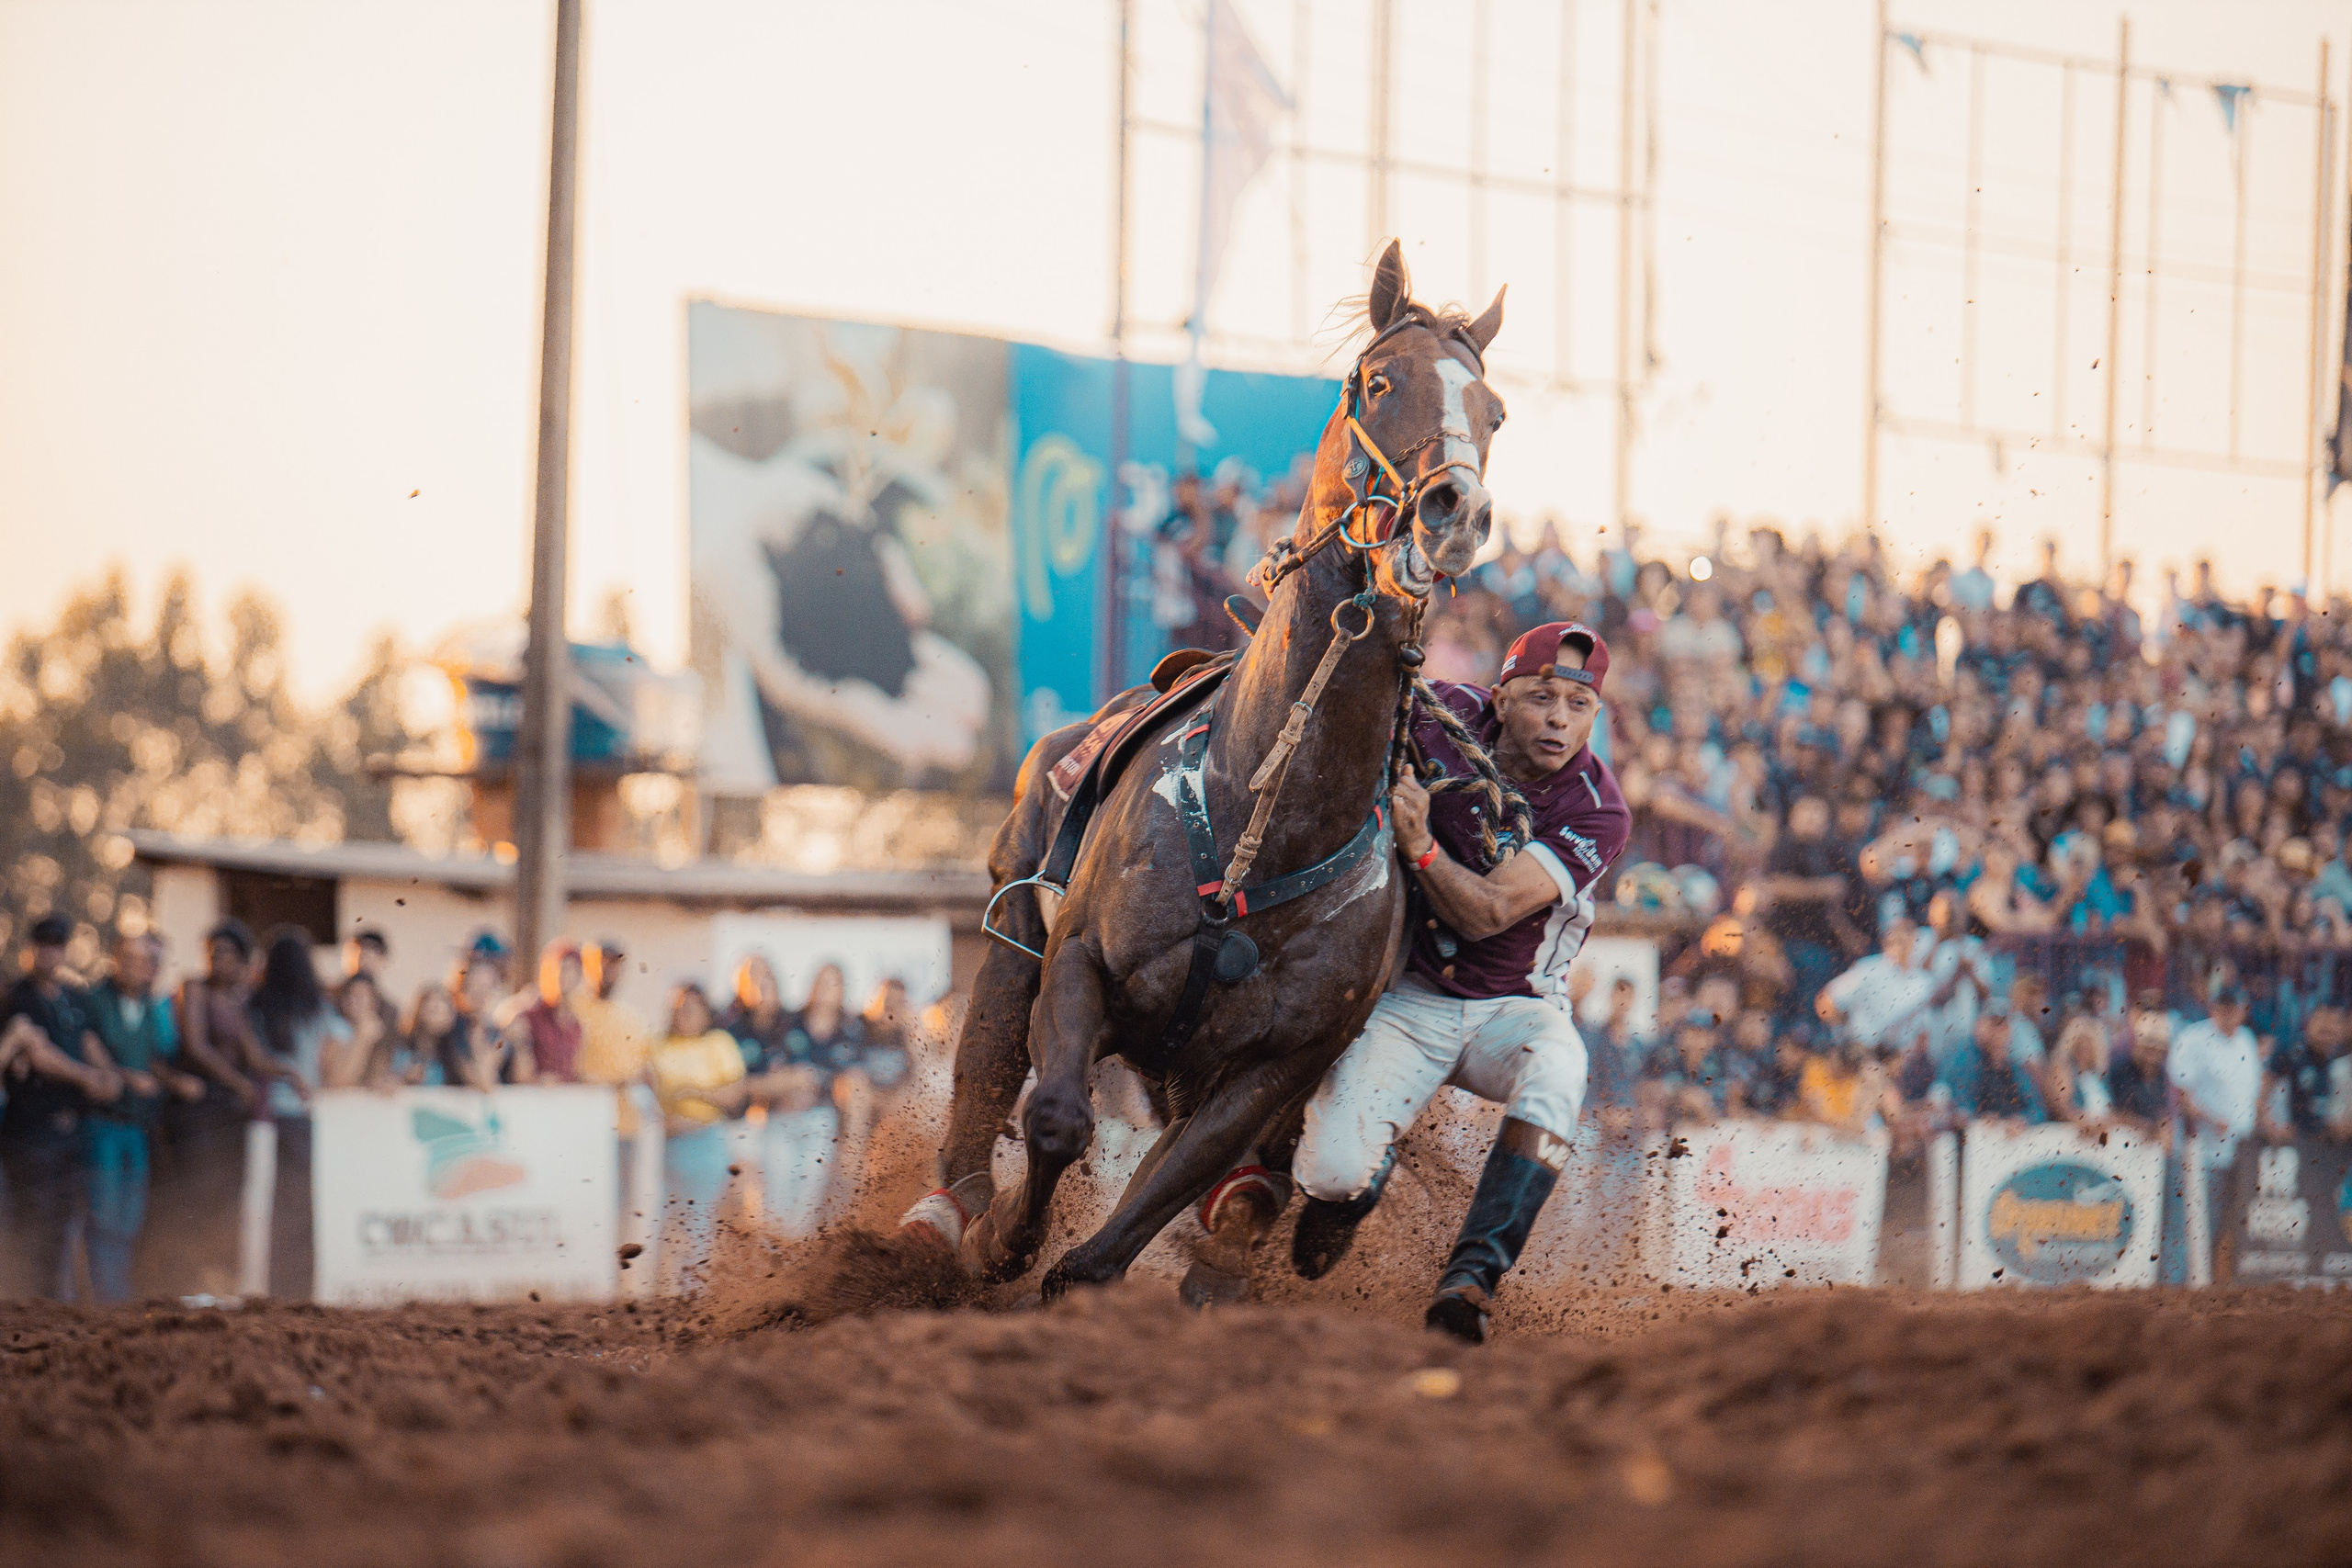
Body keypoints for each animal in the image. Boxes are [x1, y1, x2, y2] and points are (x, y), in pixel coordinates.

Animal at [905, 241, 1508, 1300]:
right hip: (1015, 921)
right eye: (1379, 380)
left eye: (1497, 412)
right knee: (985, 1059)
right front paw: (1002, 1242)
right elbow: (1055, 1115)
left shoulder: (1274, 1071)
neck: (1258, 823)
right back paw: (952, 1215)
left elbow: (1139, 1217)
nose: (1456, 510)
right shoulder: (1079, 964)